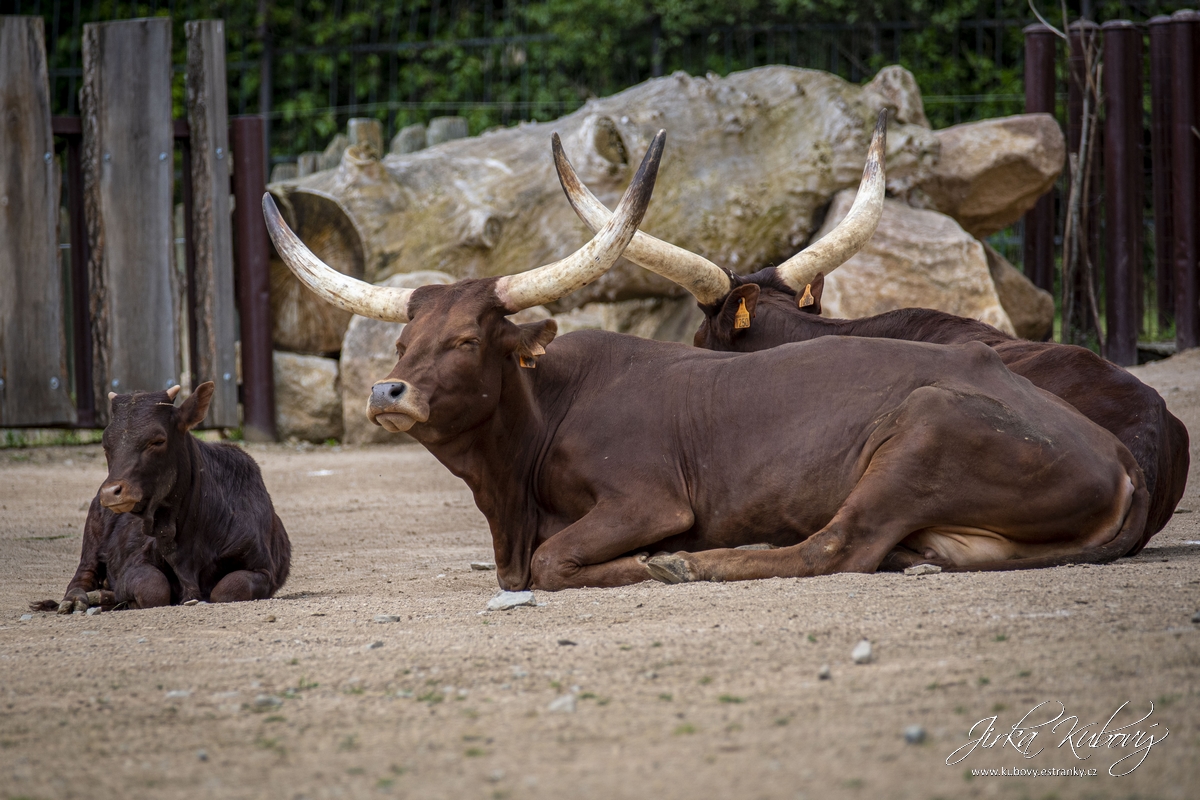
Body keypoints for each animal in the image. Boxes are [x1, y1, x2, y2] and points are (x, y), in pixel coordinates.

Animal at [35, 381, 290, 614]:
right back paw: (78, 600)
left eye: (157, 440)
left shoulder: (262, 568)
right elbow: (153, 588)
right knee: (80, 579)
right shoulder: (135, 562)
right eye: (106, 445)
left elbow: (227, 589)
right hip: (90, 542)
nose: (110, 492)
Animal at [267, 131, 1147, 592]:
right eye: (402, 341)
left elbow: (554, 560)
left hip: (921, 436)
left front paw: (649, 563)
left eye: (466, 340)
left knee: (836, 546)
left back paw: (697, 564)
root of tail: (1119, 457)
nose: (388, 391)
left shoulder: (647, 498)